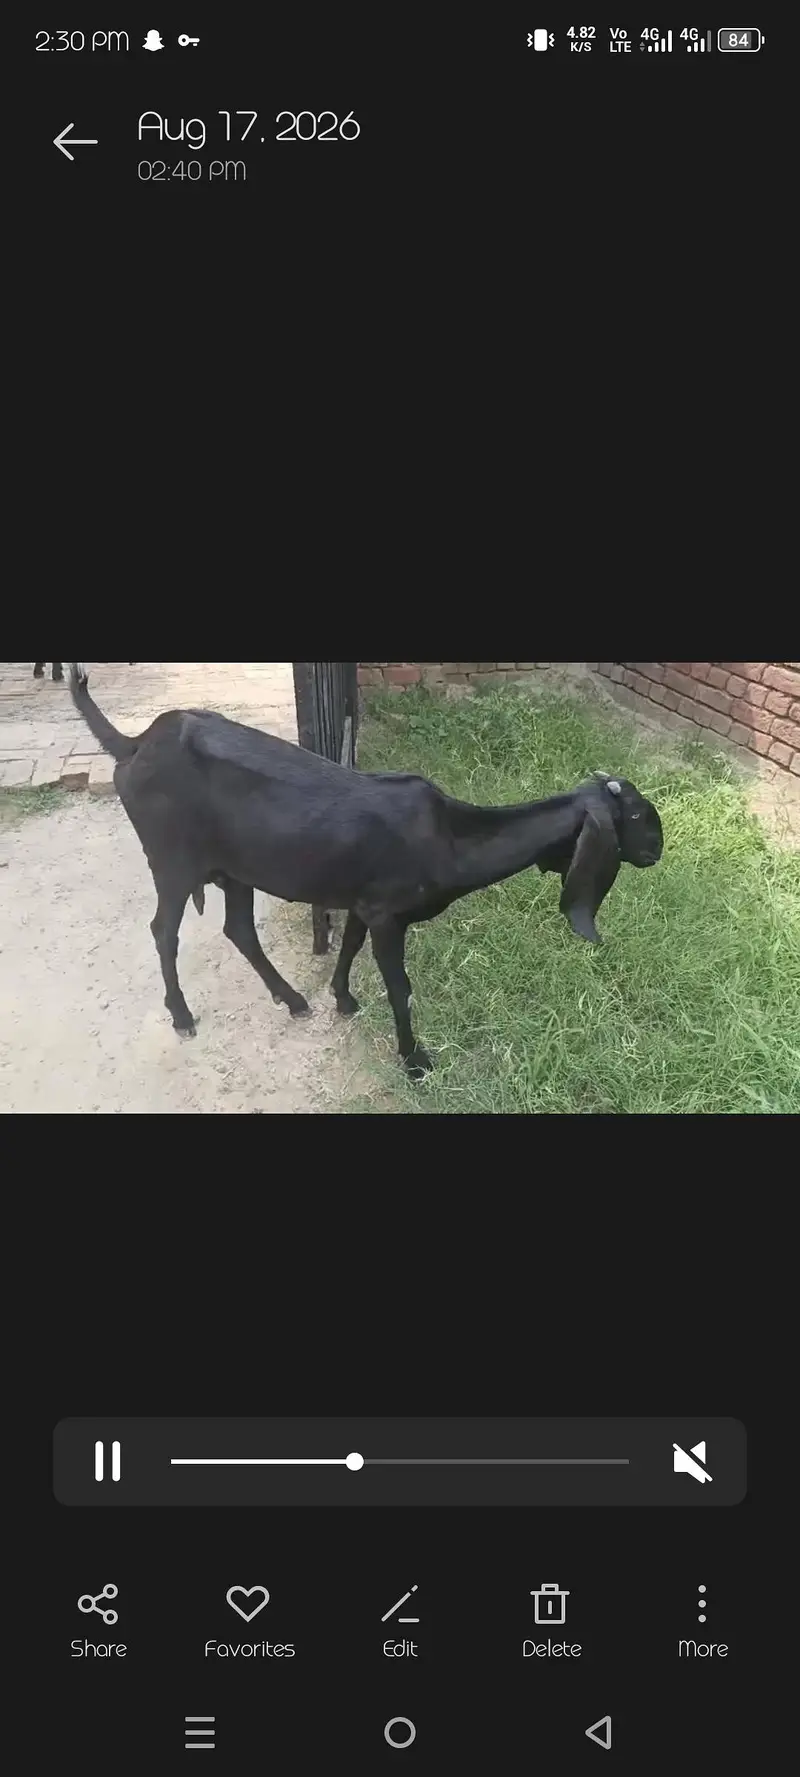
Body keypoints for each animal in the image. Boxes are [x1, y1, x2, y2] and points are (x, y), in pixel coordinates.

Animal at [67, 663, 664, 1079]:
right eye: (636, 815)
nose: (657, 851)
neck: (447, 836)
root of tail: (135, 744)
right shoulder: (387, 913)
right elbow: (400, 987)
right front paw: (415, 1060)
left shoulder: (361, 900)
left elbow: (349, 946)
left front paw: (343, 999)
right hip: (171, 859)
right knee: (163, 931)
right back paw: (183, 1016)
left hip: (235, 867)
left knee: (238, 929)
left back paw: (293, 1000)